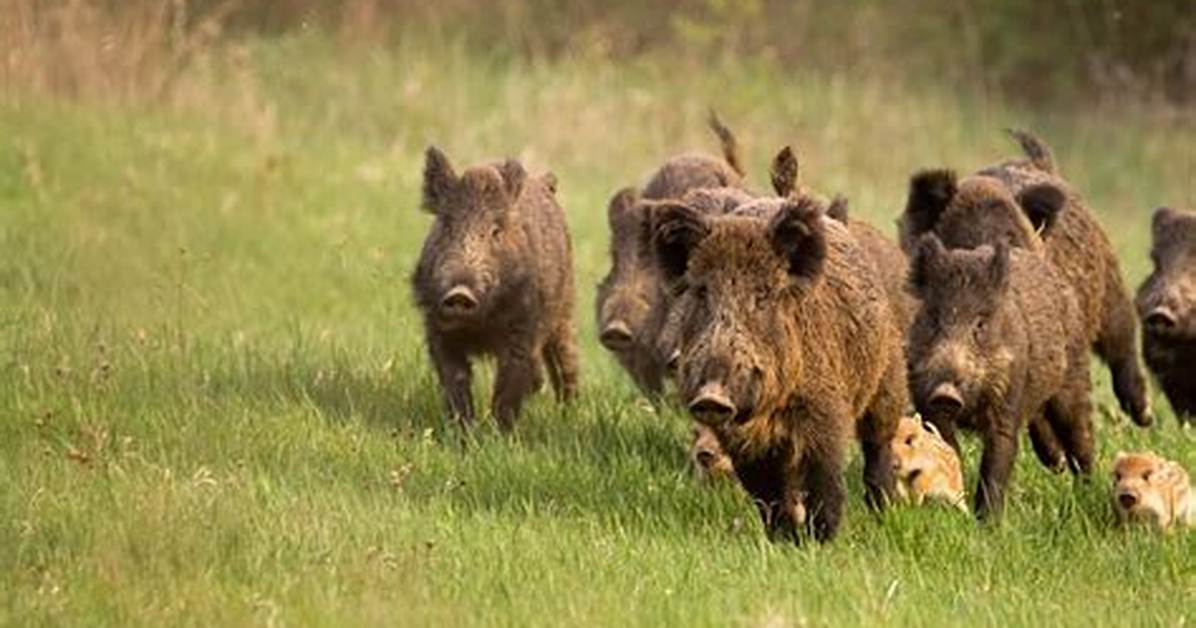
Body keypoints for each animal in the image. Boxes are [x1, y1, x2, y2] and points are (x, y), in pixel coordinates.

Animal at [412, 147, 578, 429]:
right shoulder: (438, 329)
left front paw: (499, 433)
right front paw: (462, 431)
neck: (479, 326)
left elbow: (509, 383)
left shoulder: (522, 329)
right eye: (447, 226)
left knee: (566, 359)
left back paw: (570, 414)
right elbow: (455, 379)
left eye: (496, 231)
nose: (460, 293)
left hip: (564, 311)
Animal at [655, 194, 907, 542]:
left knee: (877, 444)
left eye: (762, 296)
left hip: (887, 379)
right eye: (703, 292)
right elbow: (766, 493)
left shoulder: (825, 413)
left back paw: (884, 509)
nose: (712, 397)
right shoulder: (742, 445)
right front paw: (783, 539)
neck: (767, 413)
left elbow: (824, 479)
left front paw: (821, 539)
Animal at [899, 129, 1152, 427]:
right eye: (959, 239)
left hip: (1111, 290)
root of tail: (1040, 164)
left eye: (1009, 238)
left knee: (1122, 341)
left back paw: (1145, 416)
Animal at [907, 234, 1095, 519]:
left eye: (980, 324)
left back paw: (1086, 488)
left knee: (1080, 435)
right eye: (934, 319)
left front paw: (987, 522)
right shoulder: (926, 402)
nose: (945, 393)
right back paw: (1058, 464)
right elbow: (948, 448)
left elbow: (998, 459)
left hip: (1074, 378)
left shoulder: (1007, 400)